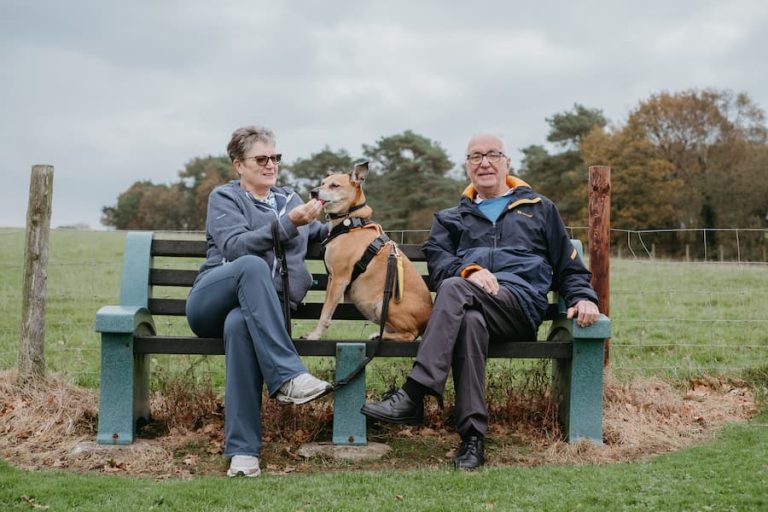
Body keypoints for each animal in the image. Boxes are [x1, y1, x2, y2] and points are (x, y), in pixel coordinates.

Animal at [303, 161, 432, 341]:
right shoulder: (331, 279)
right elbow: (326, 310)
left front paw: (315, 335)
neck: (350, 222)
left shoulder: (339, 279)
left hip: (383, 303)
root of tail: (427, 321)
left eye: (334, 185)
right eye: (322, 182)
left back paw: (379, 336)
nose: (313, 192)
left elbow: (325, 312)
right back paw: (380, 334)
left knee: (409, 335)